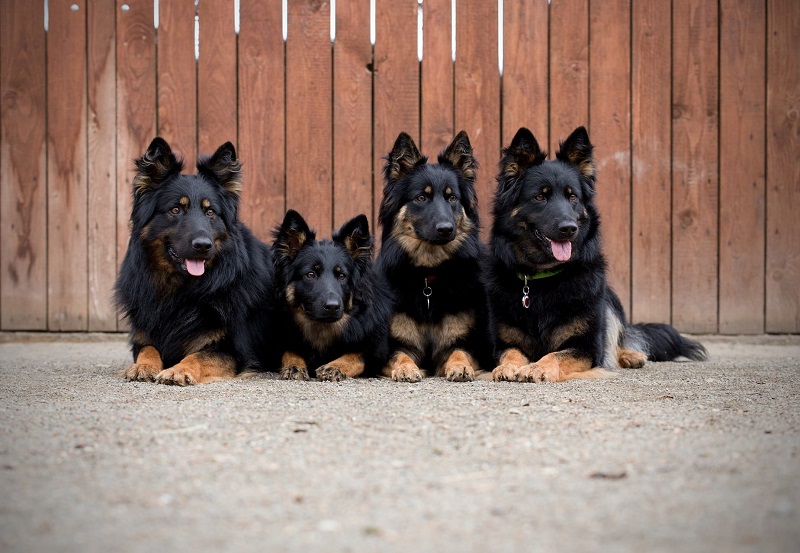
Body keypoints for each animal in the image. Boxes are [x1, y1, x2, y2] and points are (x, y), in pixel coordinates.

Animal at [112, 137, 276, 384]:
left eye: (210, 212)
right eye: (175, 209)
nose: (203, 246)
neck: (182, 291)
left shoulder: (232, 350)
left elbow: (199, 356)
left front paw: (178, 370)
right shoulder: (143, 337)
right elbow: (148, 349)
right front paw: (143, 366)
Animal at [270, 207, 392, 380]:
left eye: (341, 276)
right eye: (310, 274)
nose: (333, 307)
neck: (323, 327)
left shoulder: (376, 351)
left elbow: (356, 355)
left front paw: (335, 366)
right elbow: (290, 350)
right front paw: (294, 365)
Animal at [376, 130, 494, 382]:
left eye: (452, 198)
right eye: (421, 198)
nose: (446, 229)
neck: (428, 277)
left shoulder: (463, 343)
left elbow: (460, 352)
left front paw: (460, 367)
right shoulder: (394, 346)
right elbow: (400, 356)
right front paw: (405, 369)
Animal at [484, 126, 704, 382]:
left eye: (572, 197)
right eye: (540, 197)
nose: (569, 228)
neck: (544, 279)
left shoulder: (586, 347)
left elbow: (556, 355)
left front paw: (538, 367)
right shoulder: (503, 343)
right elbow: (510, 353)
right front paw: (508, 367)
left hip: (609, 298)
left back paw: (631, 355)